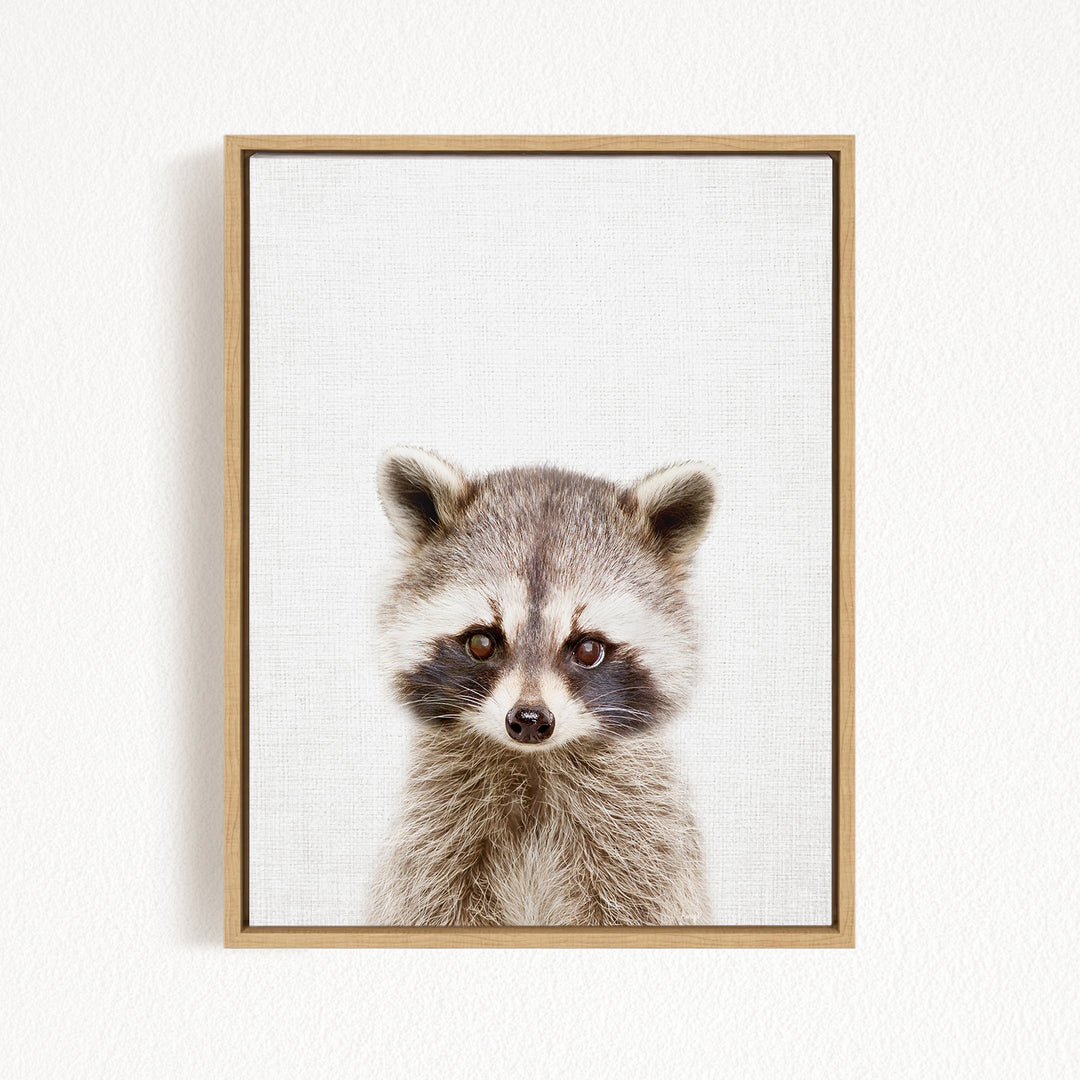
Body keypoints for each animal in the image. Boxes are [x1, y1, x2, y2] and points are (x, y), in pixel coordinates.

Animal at [369, 447, 717, 927]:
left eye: (588, 649)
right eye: (481, 643)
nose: (530, 719)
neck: (533, 764)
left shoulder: (645, 843)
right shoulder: (431, 839)